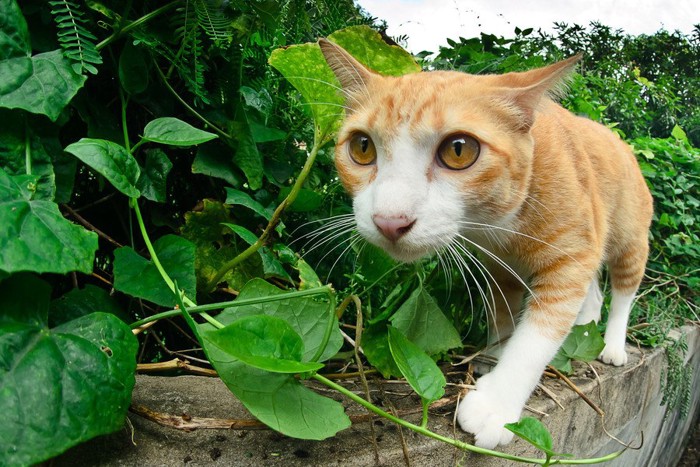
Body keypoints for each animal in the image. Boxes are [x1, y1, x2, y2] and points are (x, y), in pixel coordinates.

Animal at [320, 39, 652, 450]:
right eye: (362, 147)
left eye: (459, 150)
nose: (390, 220)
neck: (497, 223)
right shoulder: (496, 266)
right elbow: (502, 315)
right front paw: (493, 354)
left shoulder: (571, 259)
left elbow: (534, 340)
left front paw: (497, 404)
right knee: (594, 293)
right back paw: (585, 328)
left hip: (628, 239)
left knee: (622, 293)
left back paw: (612, 346)